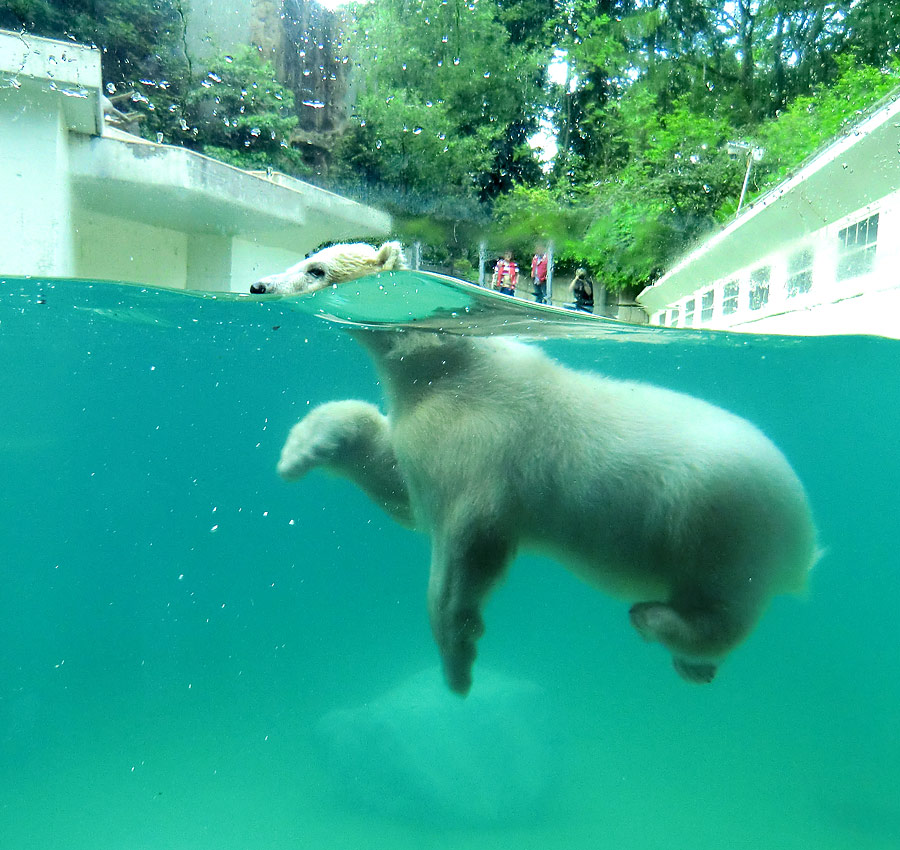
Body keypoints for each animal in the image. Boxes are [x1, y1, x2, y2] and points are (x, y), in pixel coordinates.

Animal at [250, 242, 820, 692]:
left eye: (317, 270)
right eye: (304, 259)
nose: (257, 285)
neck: (448, 363)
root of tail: (804, 536)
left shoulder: (483, 438)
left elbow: (468, 541)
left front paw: (458, 660)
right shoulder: (432, 426)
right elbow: (401, 482)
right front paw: (299, 451)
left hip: (720, 521)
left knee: (725, 611)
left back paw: (656, 621)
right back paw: (692, 664)